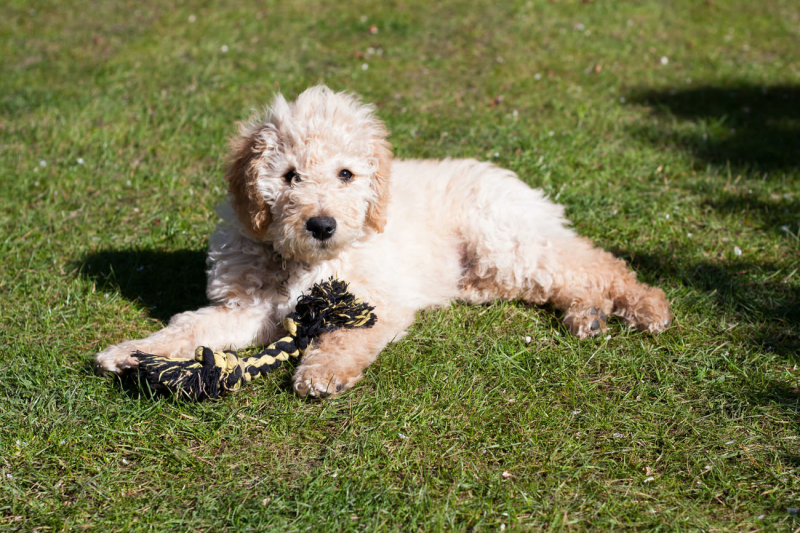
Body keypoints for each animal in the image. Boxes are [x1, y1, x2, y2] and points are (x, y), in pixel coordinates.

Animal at [94, 85, 672, 396]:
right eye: (289, 177)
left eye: (346, 174)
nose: (321, 225)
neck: (300, 260)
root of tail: (510, 178)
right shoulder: (247, 308)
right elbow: (191, 326)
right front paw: (130, 353)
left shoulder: (372, 299)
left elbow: (344, 335)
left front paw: (322, 371)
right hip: (493, 271)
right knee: (563, 278)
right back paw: (586, 314)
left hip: (505, 242)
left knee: (596, 262)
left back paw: (644, 306)